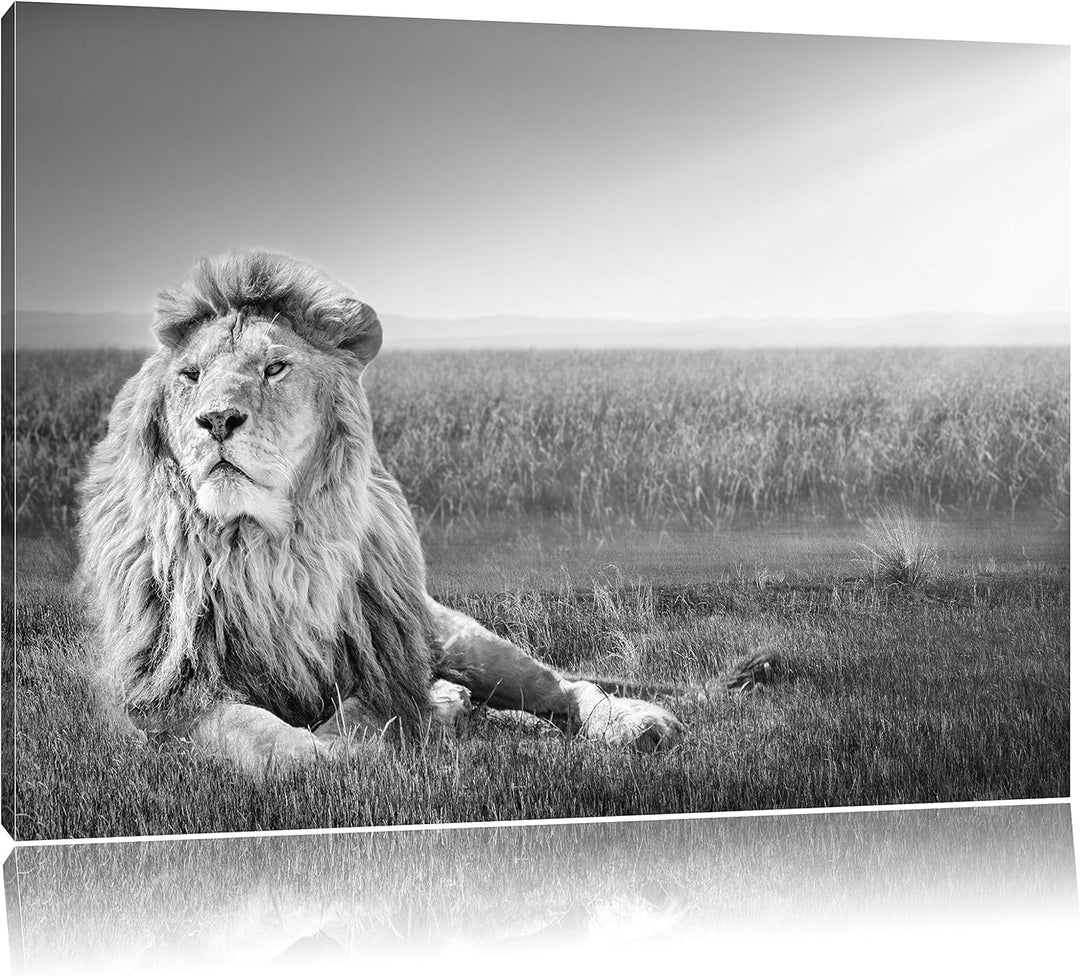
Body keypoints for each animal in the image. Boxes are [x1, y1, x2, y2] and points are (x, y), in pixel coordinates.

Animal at [77, 250, 683, 775]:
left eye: (275, 368)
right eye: (191, 375)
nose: (218, 419)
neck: (266, 549)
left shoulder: (380, 658)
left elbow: (365, 712)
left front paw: (397, 723)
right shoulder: (165, 695)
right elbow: (267, 738)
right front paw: (353, 742)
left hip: (455, 637)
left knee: (559, 686)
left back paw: (634, 723)